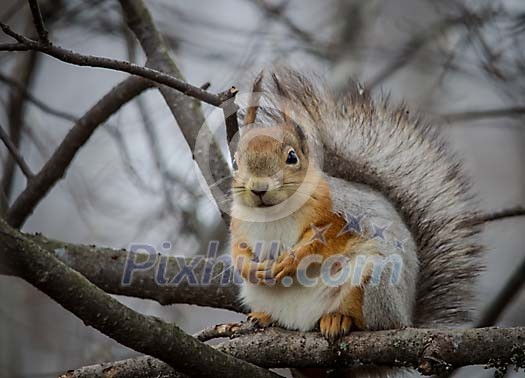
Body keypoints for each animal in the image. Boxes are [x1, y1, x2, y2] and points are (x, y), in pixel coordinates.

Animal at [227, 66, 482, 344]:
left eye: (292, 157)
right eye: (236, 162)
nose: (258, 188)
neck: (271, 213)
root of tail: (406, 316)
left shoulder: (341, 215)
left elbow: (322, 241)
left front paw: (292, 259)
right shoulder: (239, 226)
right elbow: (238, 250)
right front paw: (250, 268)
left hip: (376, 281)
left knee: (371, 321)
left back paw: (338, 319)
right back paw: (264, 317)